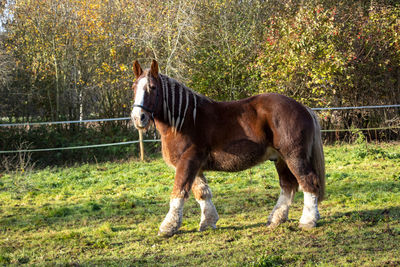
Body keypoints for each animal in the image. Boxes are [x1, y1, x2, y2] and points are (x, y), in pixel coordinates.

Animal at [131, 60, 324, 237]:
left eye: (152, 87)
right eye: (134, 87)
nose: (138, 117)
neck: (184, 120)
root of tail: (303, 108)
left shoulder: (188, 161)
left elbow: (178, 192)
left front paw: (168, 227)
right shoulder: (196, 166)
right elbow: (202, 193)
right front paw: (208, 222)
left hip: (294, 157)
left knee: (309, 182)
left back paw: (308, 221)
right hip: (281, 159)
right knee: (288, 186)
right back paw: (275, 219)